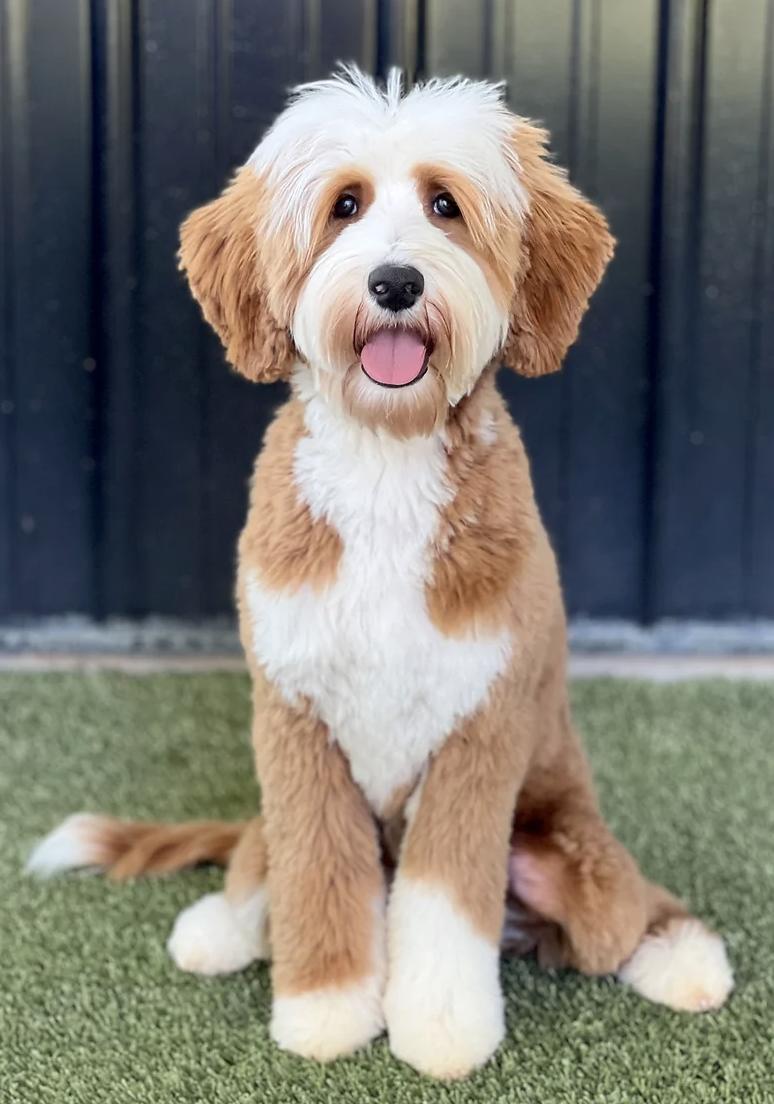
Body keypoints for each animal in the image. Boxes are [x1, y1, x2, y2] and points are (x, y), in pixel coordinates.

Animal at [29, 66, 733, 1080]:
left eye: (445, 205)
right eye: (345, 205)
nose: (395, 281)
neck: (387, 460)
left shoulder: (478, 730)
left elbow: (443, 902)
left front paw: (439, 1027)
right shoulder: (296, 722)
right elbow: (316, 871)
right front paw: (326, 1010)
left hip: (574, 855)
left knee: (620, 919)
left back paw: (682, 958)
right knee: (258, 861)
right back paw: (223, 926)